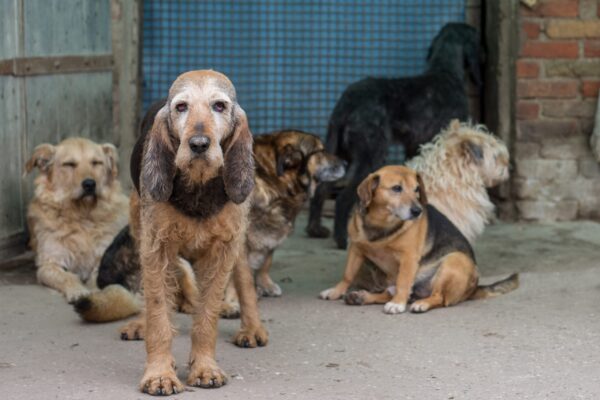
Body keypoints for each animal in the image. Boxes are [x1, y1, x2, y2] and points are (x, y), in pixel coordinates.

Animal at [26, 138, 129, 304]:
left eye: (96, 162)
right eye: (69, 164)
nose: (89, 184)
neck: (82, 215)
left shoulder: (104, 258)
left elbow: (96, 278)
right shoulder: (49, 264)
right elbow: (67, 277)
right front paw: (78, 291)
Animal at [308, 21, 486, 248]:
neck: (445, 71)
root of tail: (347, 101)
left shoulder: (415, 146)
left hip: (338, 152)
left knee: (321, 190)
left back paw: (314, 229)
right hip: (371, 156)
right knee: (344, 197)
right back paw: (342, 239)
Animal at [322, 165, 516, 312]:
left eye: (416, 189)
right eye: (396, 188)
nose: (417, 211)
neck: (381, 225)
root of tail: (474, 288)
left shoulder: (408, 258)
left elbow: (403, 281)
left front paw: (397, 305)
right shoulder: (356, 248)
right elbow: (348, 275)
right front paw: (335, 292)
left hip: (454, 261)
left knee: (439, 297)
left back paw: (421, 303)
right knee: (391, 293)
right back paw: (361, 297)